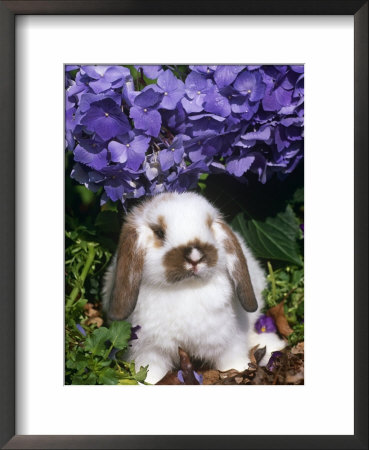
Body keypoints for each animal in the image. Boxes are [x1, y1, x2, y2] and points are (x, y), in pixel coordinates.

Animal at [102, 191, 284, 384]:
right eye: (159, 232)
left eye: (209, 225)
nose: (195, 257)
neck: (186, 288)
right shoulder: (147, 350)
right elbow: (147, 372)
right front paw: (143, 383)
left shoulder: (228, 341)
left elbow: (232, 362)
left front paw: (241, 371)